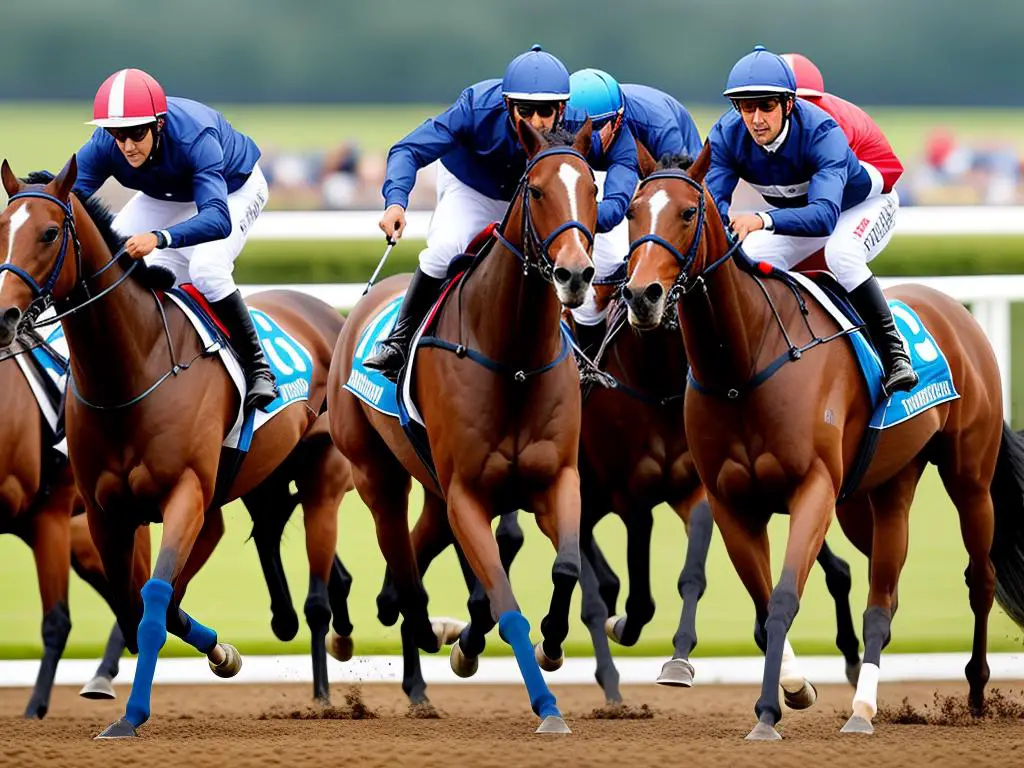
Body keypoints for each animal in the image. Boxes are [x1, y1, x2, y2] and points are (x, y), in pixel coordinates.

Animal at [0, 160, 356, 741]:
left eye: (50, 233)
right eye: (1, 228)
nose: (5, 316)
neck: (132, 370)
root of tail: (326, 312)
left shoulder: (180, 495)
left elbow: (150, 600)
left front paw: (131, 716)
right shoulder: (104, 512)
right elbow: (140, 601)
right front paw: (219, 652)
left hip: (319, 475)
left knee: (320, 594)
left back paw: (330, 681)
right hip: (250, 481)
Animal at [327, 121, 598, 733]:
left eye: (592, 187)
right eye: (537, 190)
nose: (575, 274)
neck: (513, 358)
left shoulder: (558, 480)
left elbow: (565, 568)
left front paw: (551, 645)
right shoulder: (468, 494)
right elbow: (504, 604)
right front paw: (546, 706)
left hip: (431, 484)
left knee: (415, 551)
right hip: (377, 473)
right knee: (402, 562)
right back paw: (422, 627)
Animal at [618, 147, 1024, 741]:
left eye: (689, 213)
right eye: (631, 211)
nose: (641, 296)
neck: (743, 365)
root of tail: (954, 310)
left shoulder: (813, 489)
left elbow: (784, 599)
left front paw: (768, 714)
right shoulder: (732, 502)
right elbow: (764, 605)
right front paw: (792, 691)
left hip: (969, 475)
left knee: (981, 576)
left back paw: (973, 692)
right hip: (879, 494)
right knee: (884, 596)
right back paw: (863, 707)